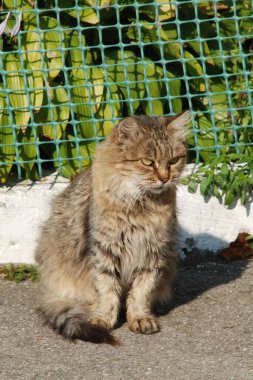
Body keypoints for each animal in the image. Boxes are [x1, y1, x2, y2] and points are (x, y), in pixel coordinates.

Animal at [35, 110, 190, 344]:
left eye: (173, 161)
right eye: (147, 162)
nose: (165, 179)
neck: (140, 206)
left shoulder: (153, 253)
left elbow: (141, 293)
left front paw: (140, 318)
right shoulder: (104, 250)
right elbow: (107, 291)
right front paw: (102, 320)